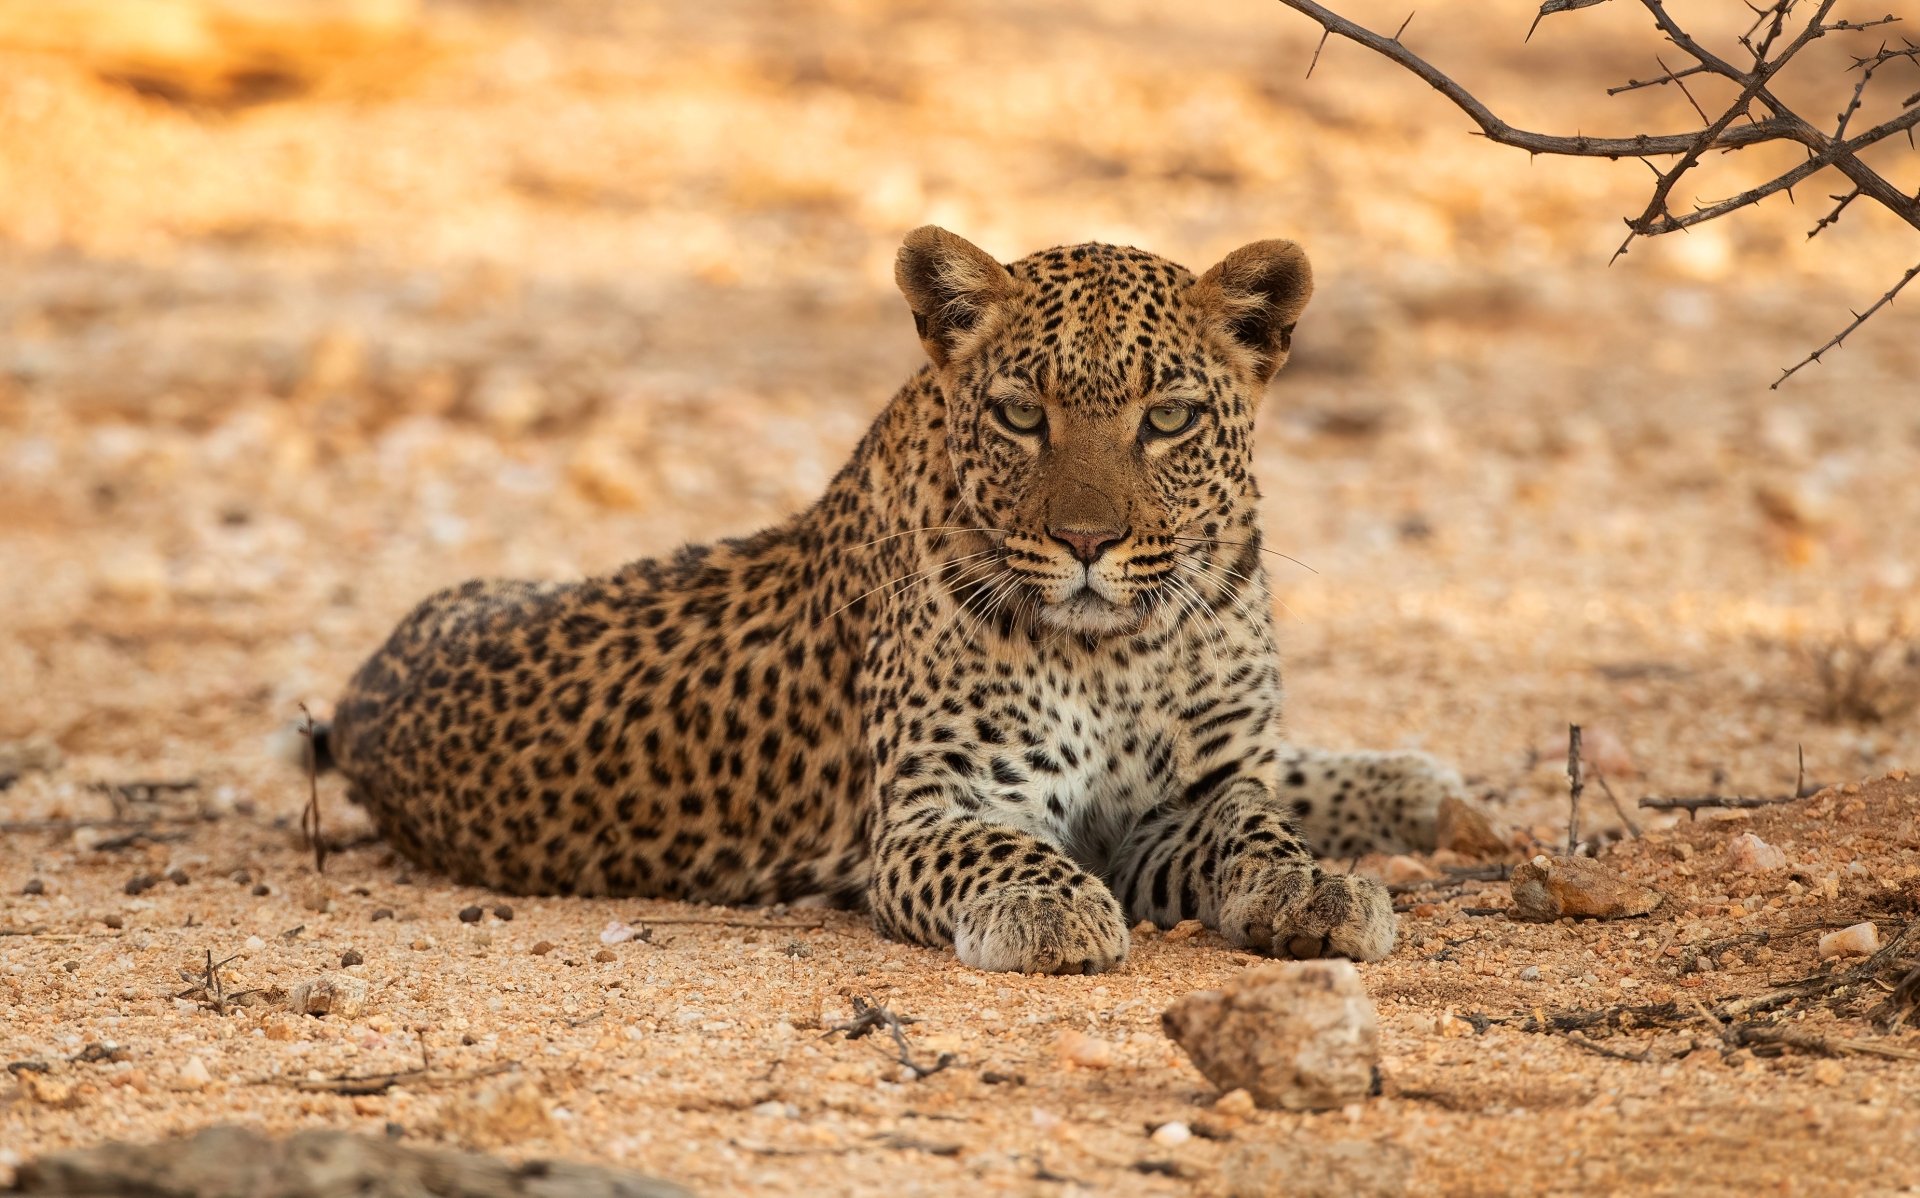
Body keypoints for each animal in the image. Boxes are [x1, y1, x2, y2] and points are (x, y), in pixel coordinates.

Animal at [318, 226, 1467, 973]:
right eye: (1019, 414)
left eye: (1170, 418)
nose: (1087, 543)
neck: (1119, 651)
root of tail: (361, 687)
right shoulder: (930, 814)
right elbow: (1006, 846)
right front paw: (1049, 910)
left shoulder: (1196, 792)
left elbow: (1256, 819)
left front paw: (1314, 886)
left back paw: (1420, 784)